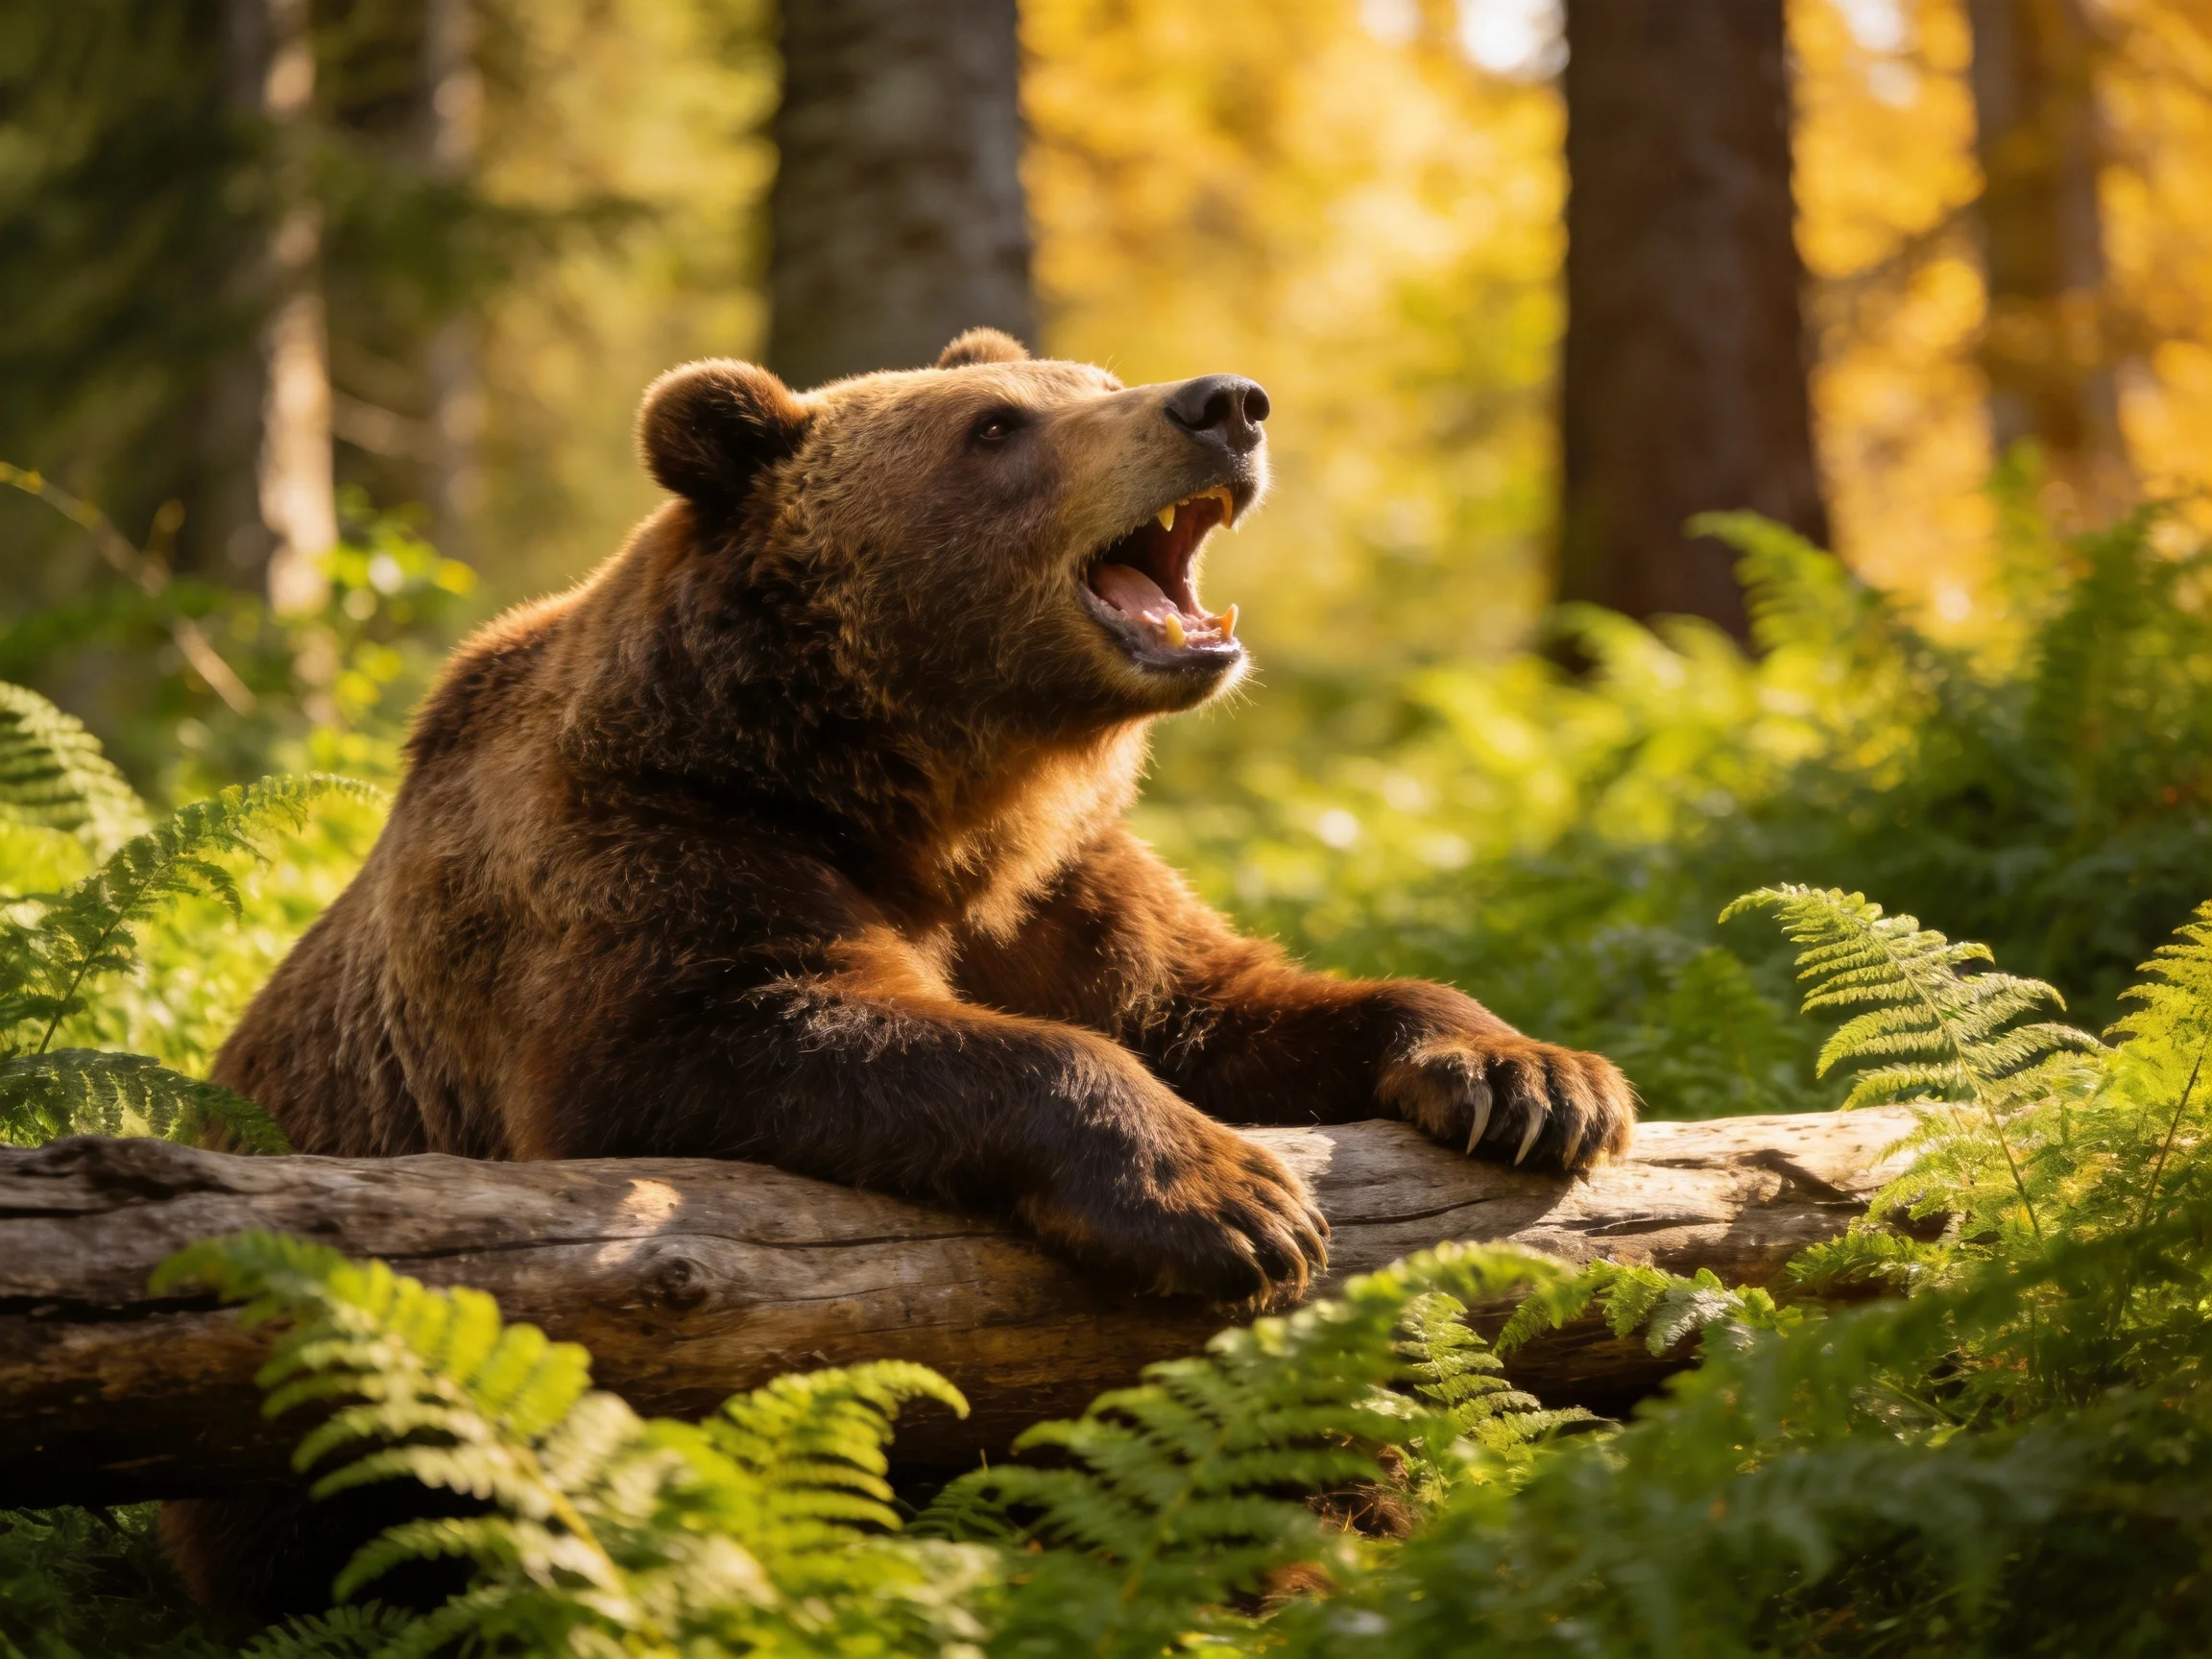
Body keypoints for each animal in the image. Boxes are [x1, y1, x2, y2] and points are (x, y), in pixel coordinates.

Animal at [163, 327, 1636, 1618]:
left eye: (1093, 378)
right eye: (997, 429)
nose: (1226, 402)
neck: (923, 798)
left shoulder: (1064, 897)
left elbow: (1228, 1006)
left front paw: (1535, 1079)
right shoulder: (641, 857)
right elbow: (740, 1033)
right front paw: (1226, 1196)